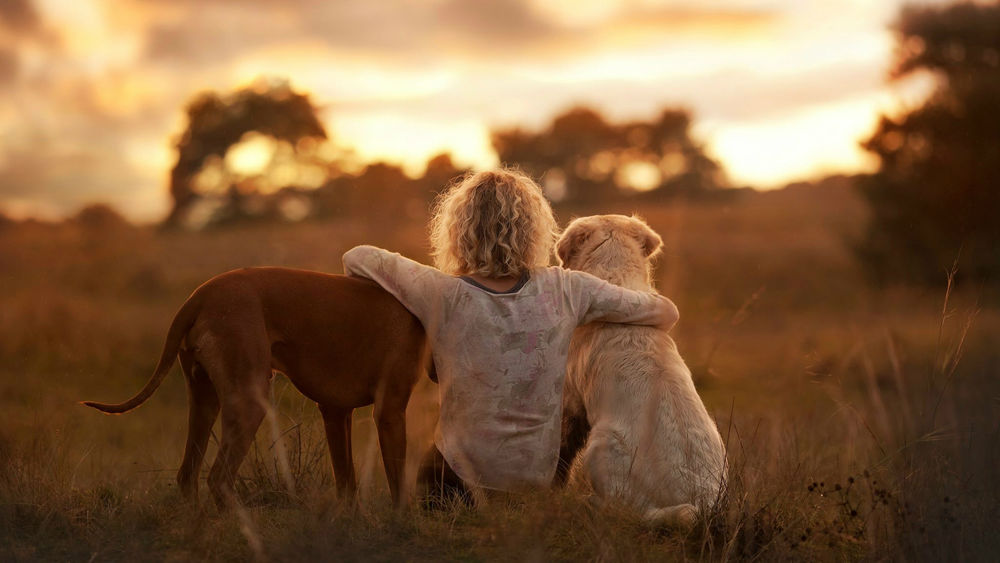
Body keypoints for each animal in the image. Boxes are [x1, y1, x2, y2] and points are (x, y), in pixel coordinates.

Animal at [84, 266, 428, 508]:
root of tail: (200, 295)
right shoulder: (390, 412)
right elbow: (398, 486)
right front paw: (401, 525)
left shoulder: (335, 412)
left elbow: (347, 484)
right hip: (250, 402)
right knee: (218, 478)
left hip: (204, 401)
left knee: (188, 475)